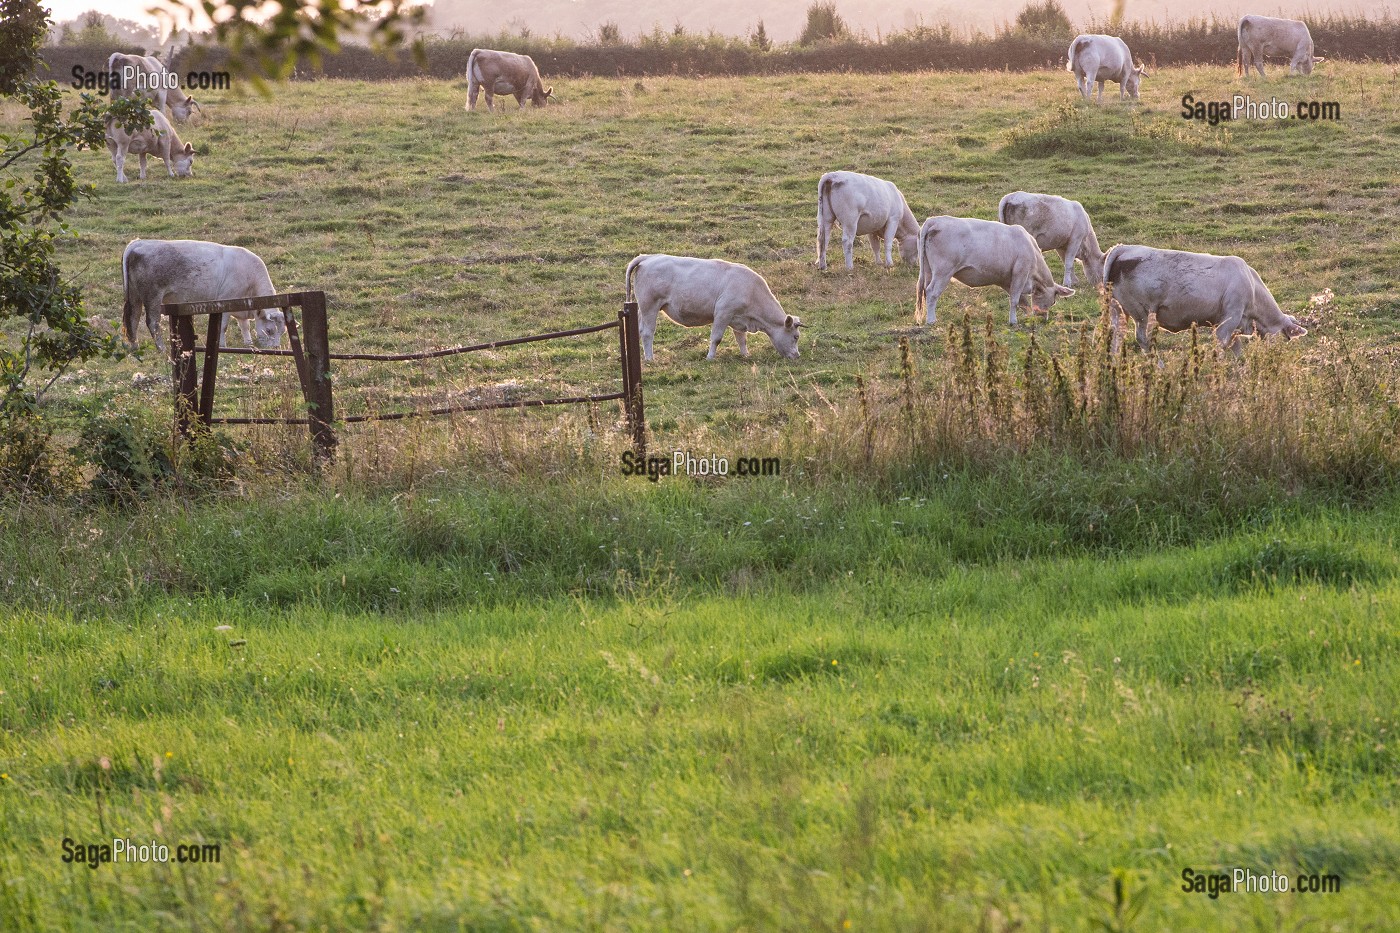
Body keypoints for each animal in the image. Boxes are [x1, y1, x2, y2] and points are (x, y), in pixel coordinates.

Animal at [121, 239, 288, 353]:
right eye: (269, 330)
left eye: (282, 332)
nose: (276, 348)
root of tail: (139, 242)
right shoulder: (225, 301)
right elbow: (223, 326)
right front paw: (222, 345)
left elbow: (244, 326)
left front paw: (248, 343)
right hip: (153, 297)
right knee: (152, 322)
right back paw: (162, 348)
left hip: (134, 297)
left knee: (132, 319)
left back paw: (135, 346)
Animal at [625, 254, 802, 361]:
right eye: (795, 336)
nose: (797, 355)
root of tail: (649, 257)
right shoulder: (723, 312)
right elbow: (716, 338)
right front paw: (710, 357)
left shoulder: (738, 318)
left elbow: (741, 339)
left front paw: (746, 355)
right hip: (650, 307)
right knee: (647, 332)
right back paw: (650, 358)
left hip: (643, 309)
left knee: (640, 330)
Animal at [914, 216, 1074, 326]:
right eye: (1053, 301)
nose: (1044, 318)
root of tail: (934, 220)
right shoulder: (1020, 272)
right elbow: (1015, 300)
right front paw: (1013, 321)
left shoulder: (1006, 280)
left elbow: (1022, 301)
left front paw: (1026, 316)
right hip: (943, 271)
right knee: (931, 292)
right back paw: (931, 320)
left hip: (928, 271)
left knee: (924, 290)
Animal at [1102, 244, 1307, 354]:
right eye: (1286, 337)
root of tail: (1123, 248)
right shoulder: (1228, 321)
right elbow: (1221, 348)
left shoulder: (1232, 326)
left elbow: (1237, 352)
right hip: (1141, 313)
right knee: (1142, 339)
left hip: (1118, 311)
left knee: (1116, 337)